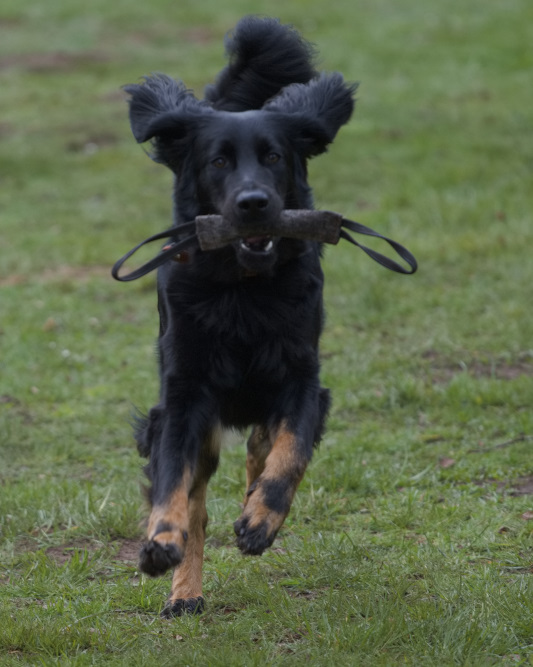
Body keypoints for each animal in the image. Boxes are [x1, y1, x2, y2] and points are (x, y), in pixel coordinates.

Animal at [123, 15, 356, 617]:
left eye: (273, 156)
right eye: (218, 161)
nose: (253, 203)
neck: (243, 290)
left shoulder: (302, 377)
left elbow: (290, 452)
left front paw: (260, 520)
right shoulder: (184, 396)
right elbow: (173, 484)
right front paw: (161, 540)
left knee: (262, 447)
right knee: (199, 503)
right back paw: (185, 591)